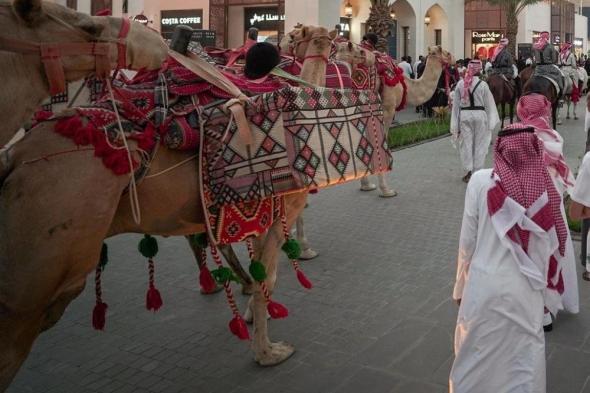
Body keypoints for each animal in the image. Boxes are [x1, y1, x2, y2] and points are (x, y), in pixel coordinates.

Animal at [0, 24, 340, 388]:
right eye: (294, 36)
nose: (284, 47)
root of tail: (16, 157)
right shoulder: (280, 214)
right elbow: (269, 279)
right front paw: (268, 352)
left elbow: (259, 268)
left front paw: (251, 315)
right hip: (38, 279)